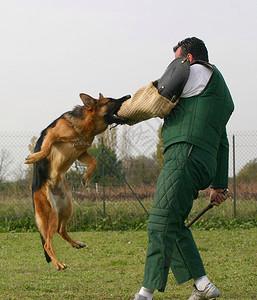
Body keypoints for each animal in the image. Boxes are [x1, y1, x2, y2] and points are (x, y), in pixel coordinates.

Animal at [25, 92, 129, 270]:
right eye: (110, 101)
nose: (128, 96)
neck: (85, 126)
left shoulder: (82, 153)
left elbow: (94, 161)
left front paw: (86, 178)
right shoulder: (52, 134)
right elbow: (46, 148)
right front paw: (34, 157)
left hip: (67, 208)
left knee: (61, 230)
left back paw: (76, 244)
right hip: (52, 214)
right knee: (47, 243)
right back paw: (58, 264)